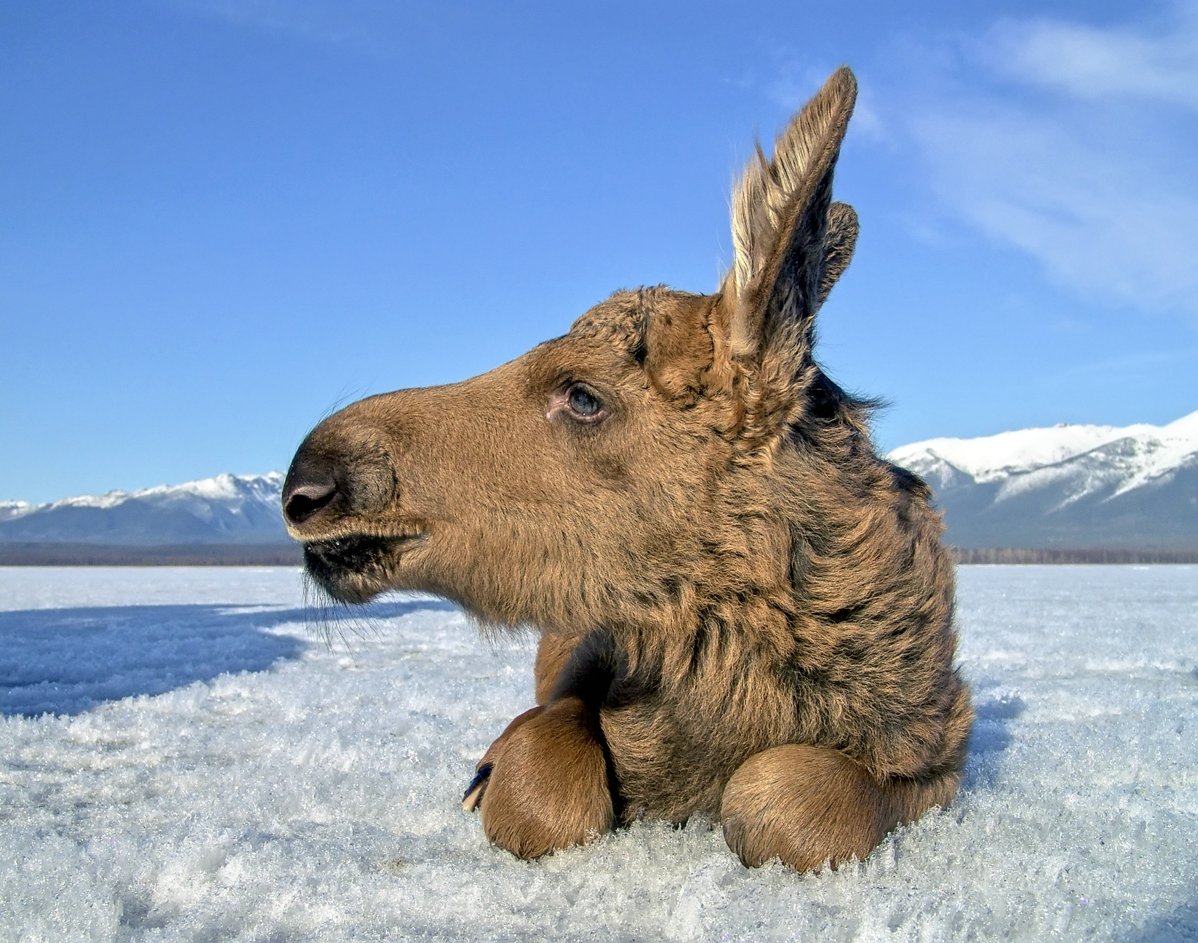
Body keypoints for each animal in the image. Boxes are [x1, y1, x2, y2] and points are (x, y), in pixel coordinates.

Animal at [282, 66, 972, 872]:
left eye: (583, 395)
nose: (310, 477)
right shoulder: (577, 667)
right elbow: (542, 785)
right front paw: (488, 775)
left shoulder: (940, 757)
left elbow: (786, 798)